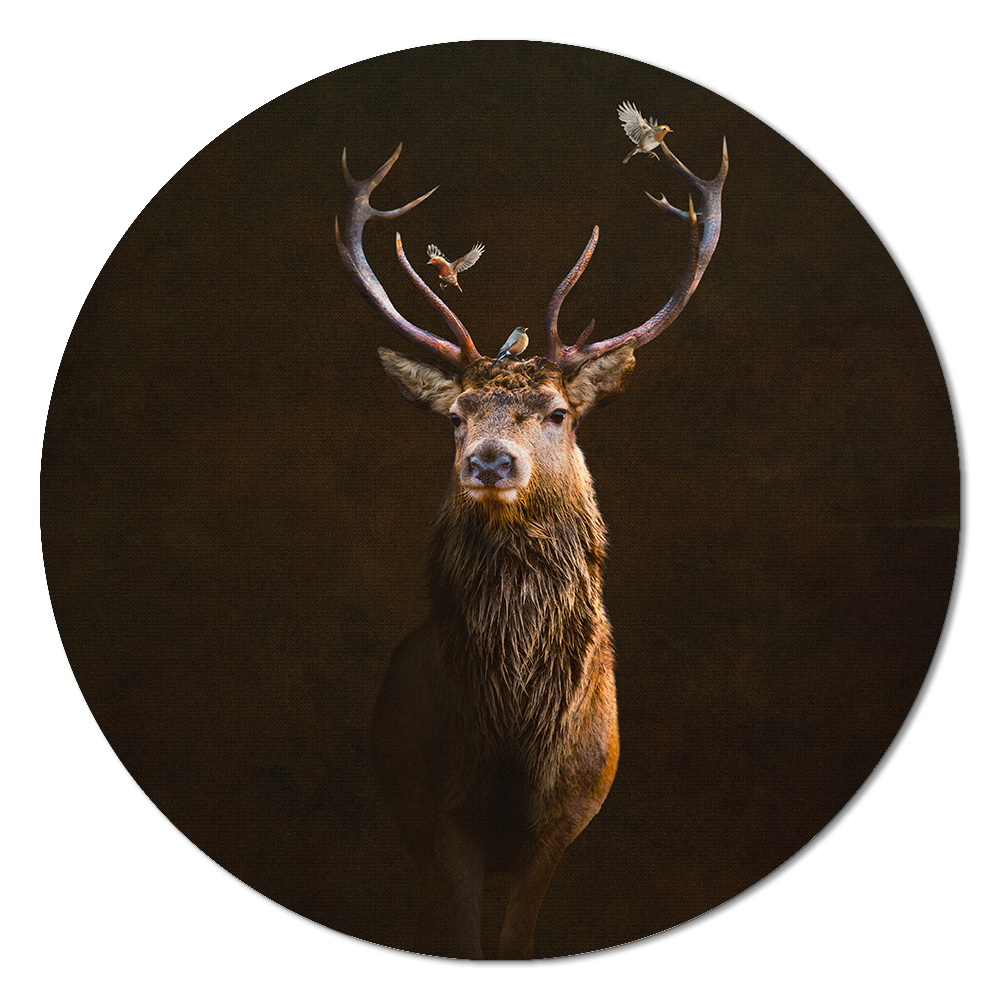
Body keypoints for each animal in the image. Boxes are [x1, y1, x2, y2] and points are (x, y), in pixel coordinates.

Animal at [336, 134, 726, 960]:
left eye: (556, 413)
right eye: (456, 416)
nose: (489, 462)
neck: (519, 737)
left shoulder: (569, 817)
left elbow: (516, 942)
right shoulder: (440, 813)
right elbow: (461, 940)